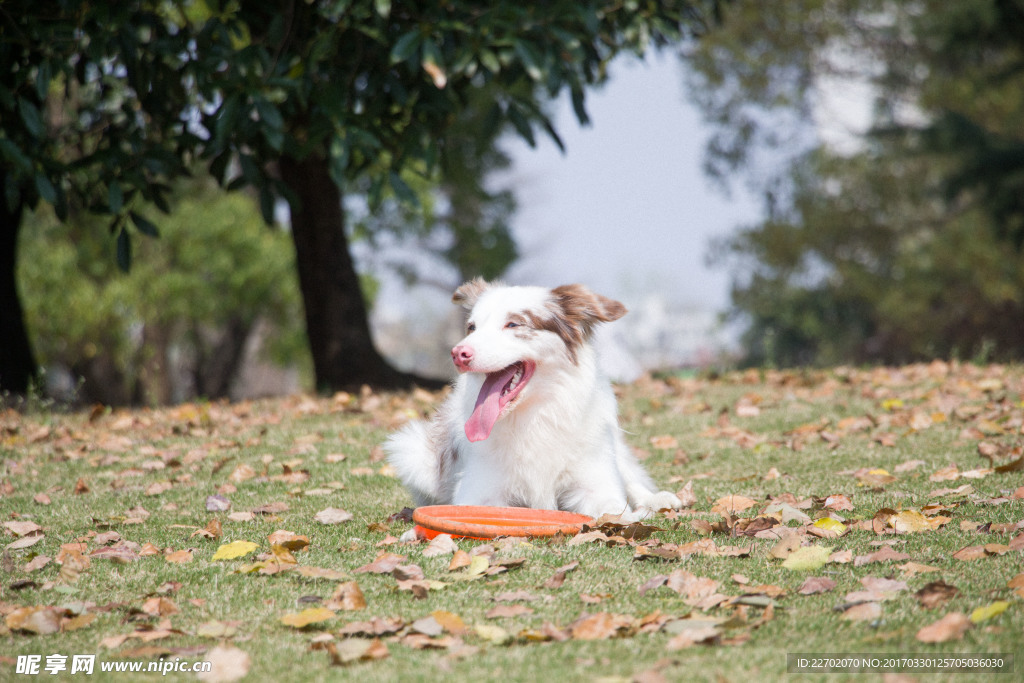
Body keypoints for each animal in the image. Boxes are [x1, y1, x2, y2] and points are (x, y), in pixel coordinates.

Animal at [385, 280, 679, 520]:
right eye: (471, 327)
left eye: (513, 324)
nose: (458, 353)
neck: (534, 416)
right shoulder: (479, 493)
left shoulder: (597, 486)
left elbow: (614, 510)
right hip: (412, 450)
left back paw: (658, 499)